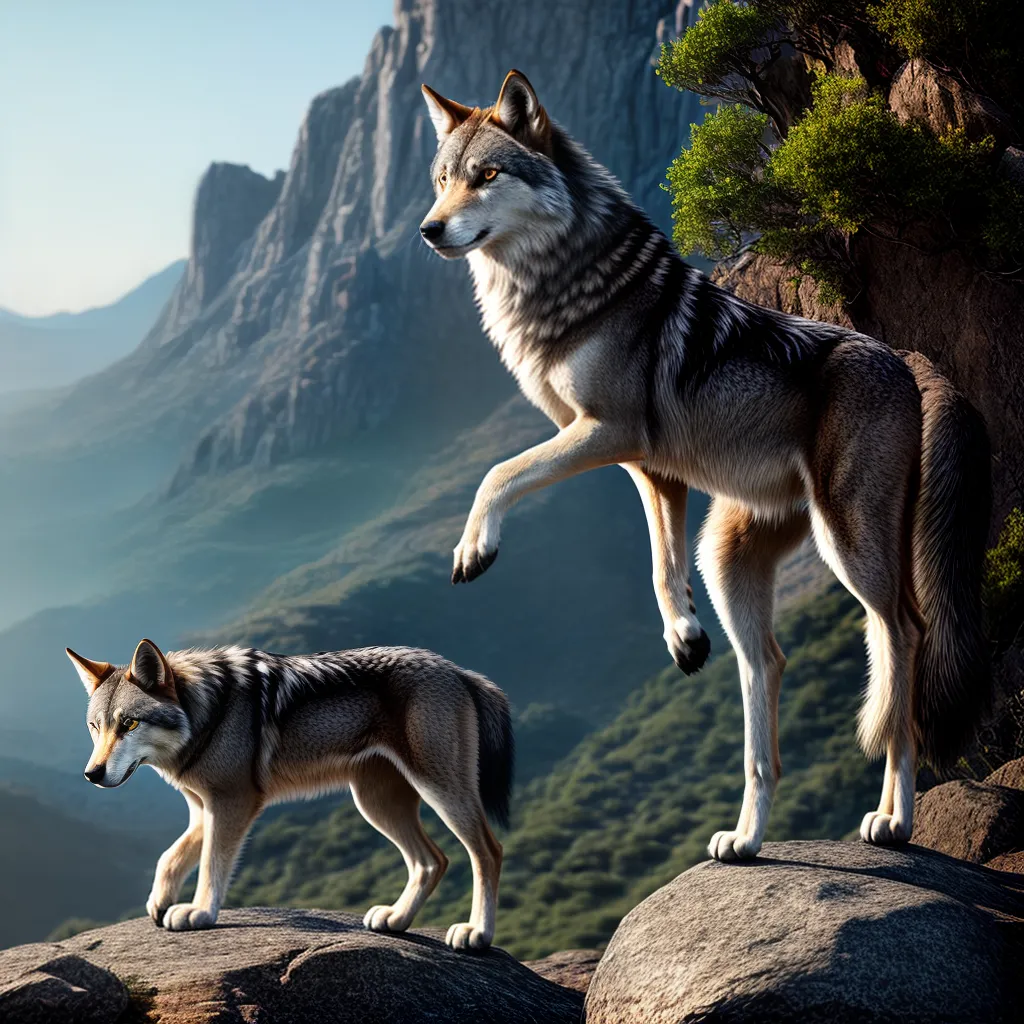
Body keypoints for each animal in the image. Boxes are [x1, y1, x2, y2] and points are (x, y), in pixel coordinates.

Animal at [68, 639, 512, 949]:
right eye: (95, 726)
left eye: (129, 723)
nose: (91, 774)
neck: (208, 714)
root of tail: (460, 671)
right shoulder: (203, 810)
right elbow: (170, 857)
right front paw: (161, 902)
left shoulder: (233, 803)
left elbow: (212, 865)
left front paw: (199, 912)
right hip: (375, 804)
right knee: (432, 860)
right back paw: (396, 920)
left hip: (438, 790)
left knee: (488, 852)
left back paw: (477, 933)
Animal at [417, 69, 991, 860]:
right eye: (443, 180)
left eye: (488, 176)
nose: (428, 229)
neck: (559, 281)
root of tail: (904, 358)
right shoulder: (648, 467)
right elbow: (660, 566)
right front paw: (684, 638)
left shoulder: (608, 432)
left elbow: (497, 473)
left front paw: (474, 549)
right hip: (730, 558)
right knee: (772, 669)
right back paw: (747, 837)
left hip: (849, 543)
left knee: (904, 631)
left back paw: (895, 820)